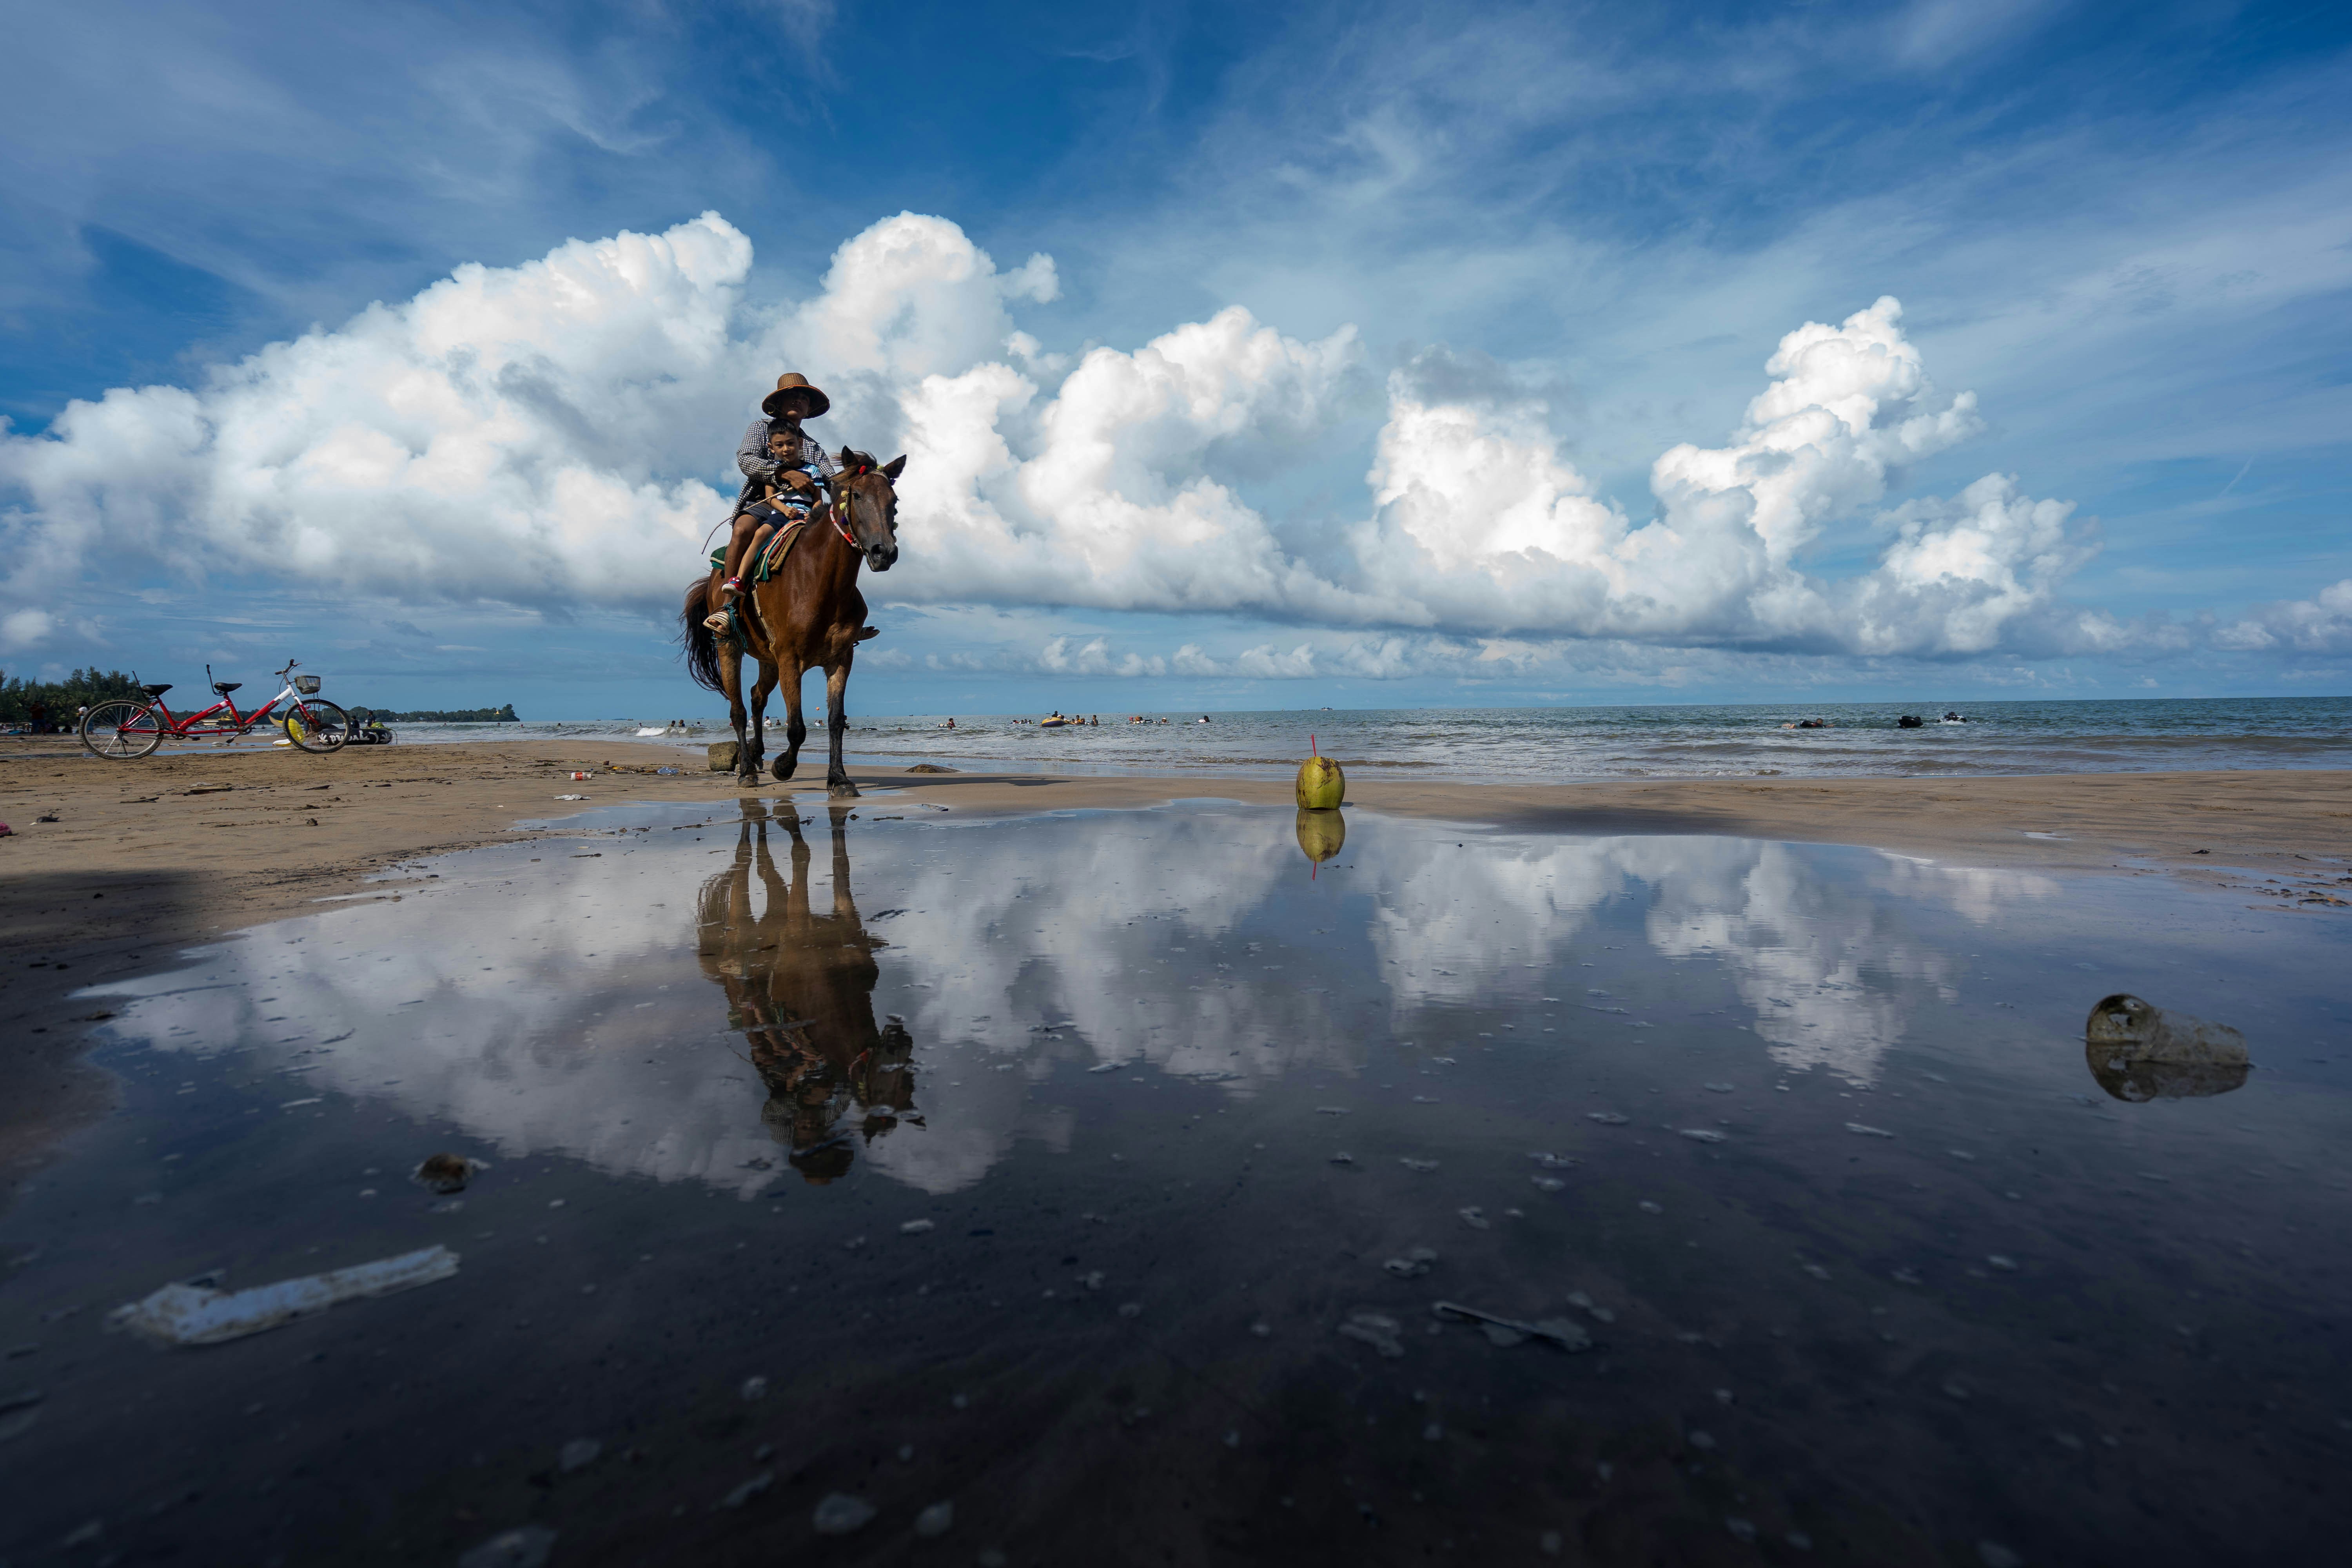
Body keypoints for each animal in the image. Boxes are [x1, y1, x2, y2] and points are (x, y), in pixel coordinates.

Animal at [681, 447, 904, 796]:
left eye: (893, 500)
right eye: (856, 495)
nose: (884, 552)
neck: (819, 581)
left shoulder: (841, 658)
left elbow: (836, 721)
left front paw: (839, 779)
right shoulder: (790, 659)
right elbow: (797, 727)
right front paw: (783, 766)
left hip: (767, 659)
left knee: (757, 697)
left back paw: (758, 756)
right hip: (730, 648)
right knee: (738, 710)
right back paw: (747, 770)